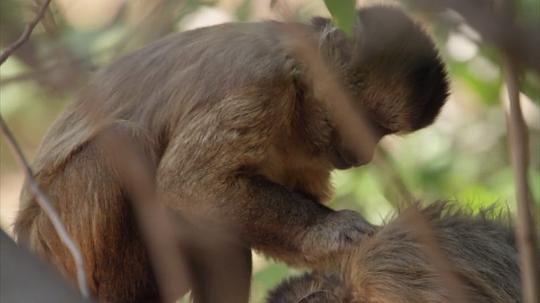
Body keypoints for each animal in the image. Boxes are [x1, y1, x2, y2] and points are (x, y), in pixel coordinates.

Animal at [14, 4, 450, 303]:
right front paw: (333, 230)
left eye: (381, 133)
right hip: (59, 245)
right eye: (364, 124)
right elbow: (188, 185)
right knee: (122, 144)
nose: (365, 153)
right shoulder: (260, 83)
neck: (297, 86)